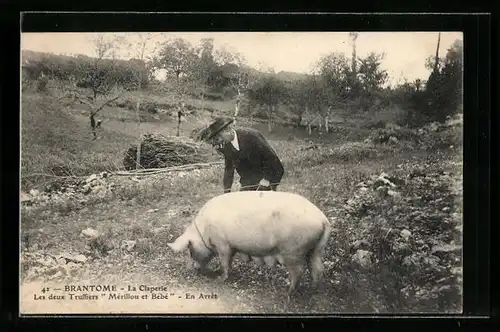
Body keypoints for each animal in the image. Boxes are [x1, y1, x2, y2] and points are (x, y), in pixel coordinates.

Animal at [167, 191, 332, 294]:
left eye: (190, 249)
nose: (190, 269)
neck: (204, 230)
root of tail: (323, 219)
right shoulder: (231, 246)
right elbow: (229, 261)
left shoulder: (223, 244)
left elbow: (224, 261)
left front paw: (221, 279)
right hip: (316, 249)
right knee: (317, 268)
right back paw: (313, 290)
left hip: (293, 251)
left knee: (299, 270)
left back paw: (288, 292)